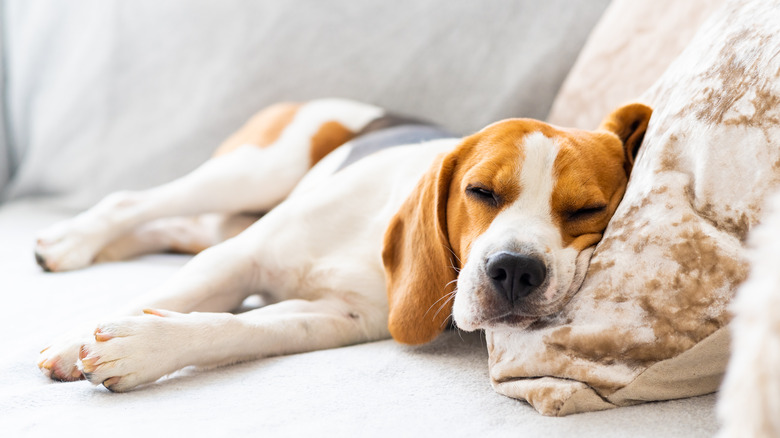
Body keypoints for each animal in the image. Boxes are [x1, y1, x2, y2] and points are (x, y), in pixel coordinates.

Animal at [35, 100, 652, 394]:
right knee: (131, 202)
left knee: (167, 228)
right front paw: (73, 342)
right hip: (255, 171)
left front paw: (144, 346)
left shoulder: (339, 318)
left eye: (587, 211)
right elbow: (176, 295)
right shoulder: (237, 258)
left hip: (225, 215)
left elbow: (239, 326)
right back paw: (70, 241)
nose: (516, 271)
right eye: (480, 191)